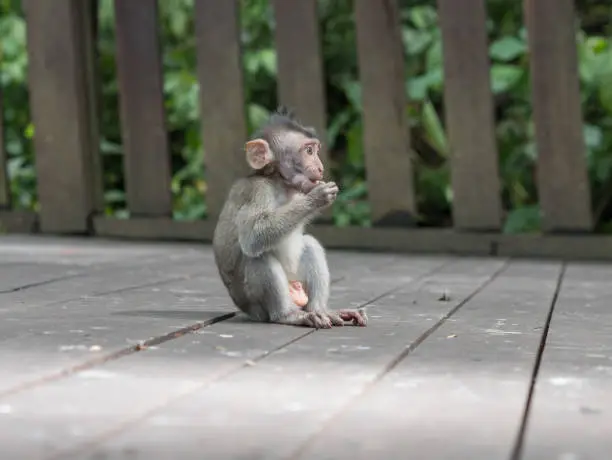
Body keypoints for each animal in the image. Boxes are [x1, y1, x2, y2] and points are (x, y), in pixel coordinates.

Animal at [214, 108, 368, 328]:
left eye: (315, 150)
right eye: (309, 151)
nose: (320, 167)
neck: (279, 183)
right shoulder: (258, 191)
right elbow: (253, 236)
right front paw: (316, 198)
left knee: (310, 244)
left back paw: (320, 310)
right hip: (256, 306)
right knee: (258, 256)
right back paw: (288, 315)